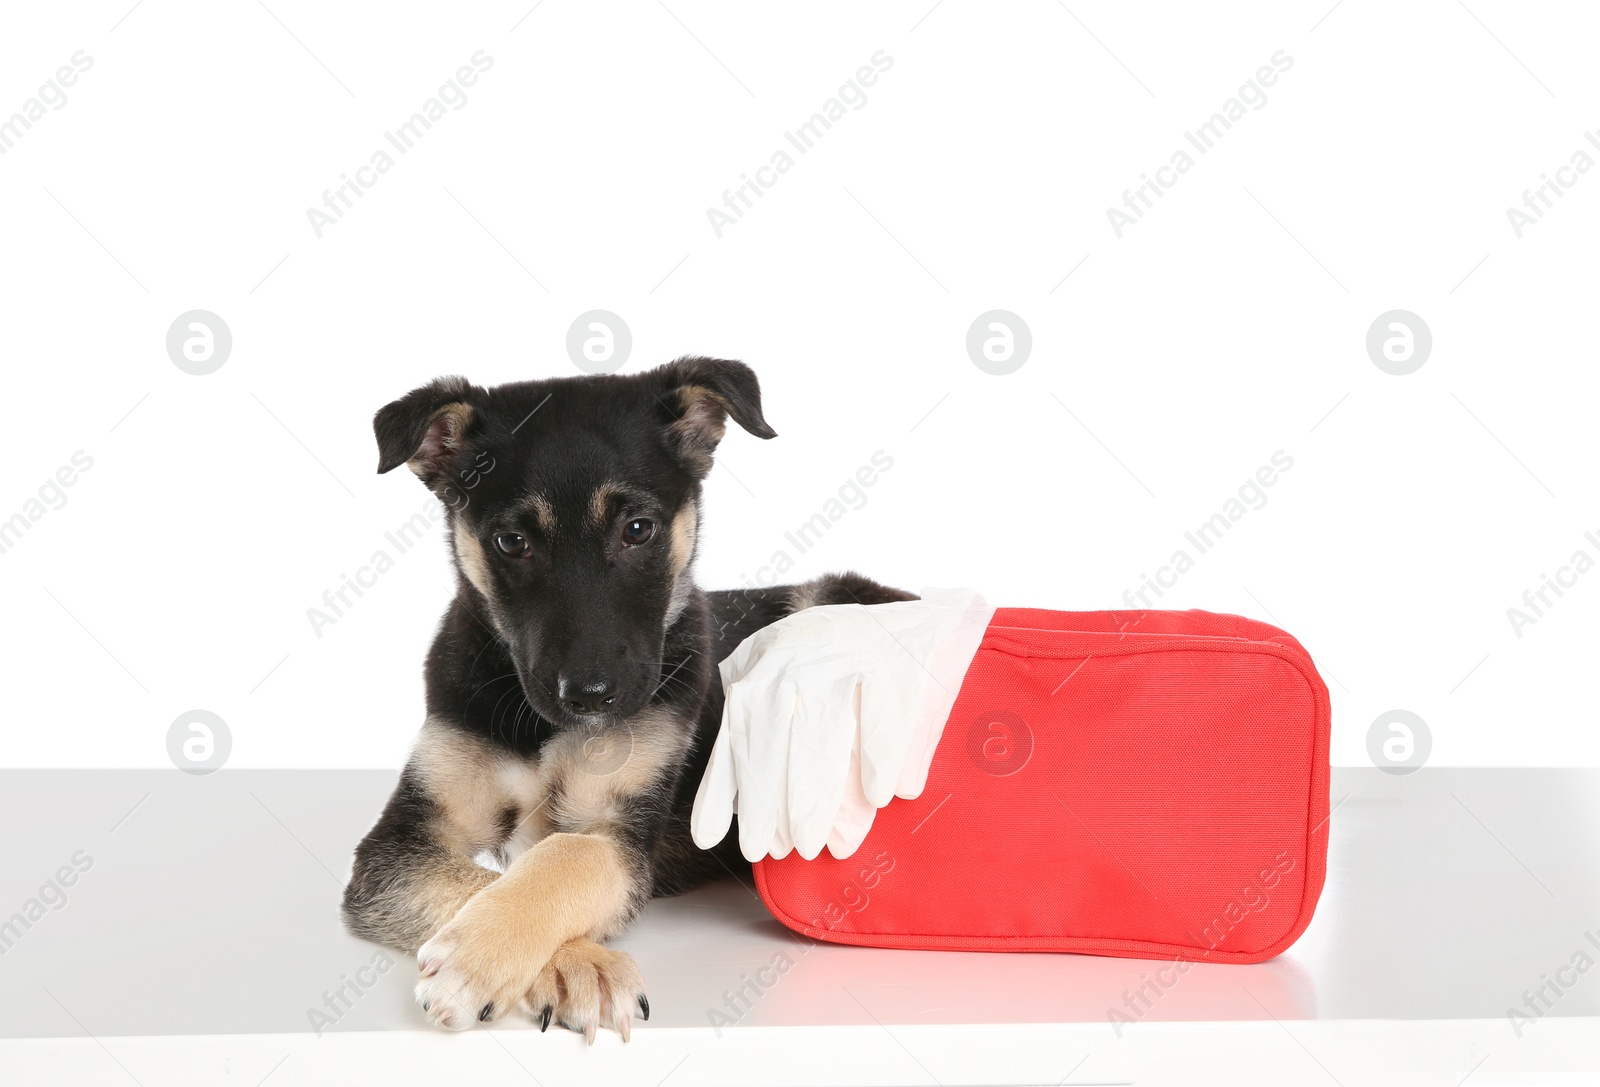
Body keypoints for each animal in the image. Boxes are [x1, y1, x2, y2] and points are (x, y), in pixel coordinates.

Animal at [337, 356, 915, 1037]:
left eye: (638, 530)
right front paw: (575, 965)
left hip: (827, 603)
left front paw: (478, 957)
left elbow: (567, 855)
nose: (590, 697)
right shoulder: (402, 842)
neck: (544, 727)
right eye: (511, 543)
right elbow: (482, 877)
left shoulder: (620, 829)